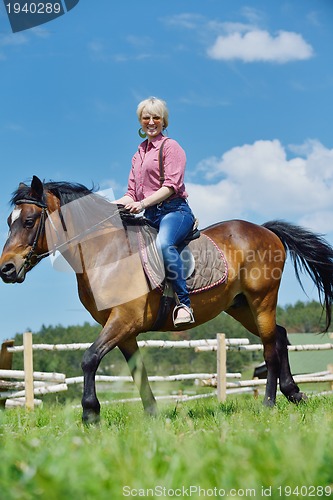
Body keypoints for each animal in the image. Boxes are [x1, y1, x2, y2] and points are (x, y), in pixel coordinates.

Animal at [0, 176, 332, 422]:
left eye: (29, 221)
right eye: (9, 221)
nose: (6, 269)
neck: (105, 252)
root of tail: (265, 230)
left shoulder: (124, 320)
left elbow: (89, 358)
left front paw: (90, 414)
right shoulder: (123, 329)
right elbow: (138, 372)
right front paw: (152, 414)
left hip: (262, 300)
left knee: (270, 348)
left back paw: (269, 404)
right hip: (240, 307)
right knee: (280, 335)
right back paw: (294, 394)